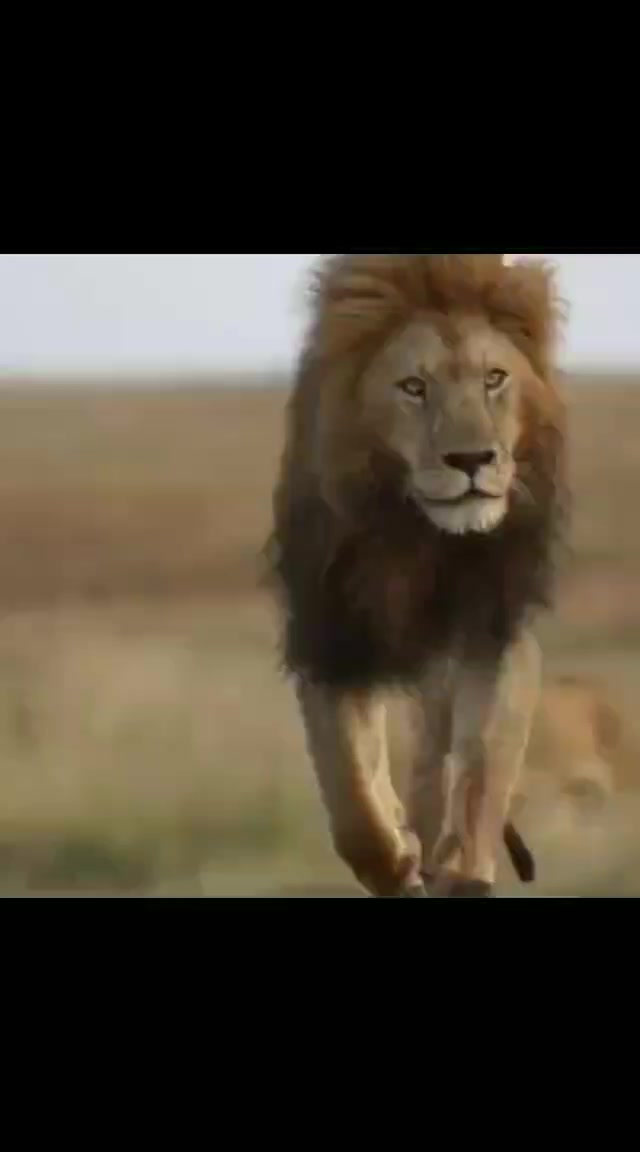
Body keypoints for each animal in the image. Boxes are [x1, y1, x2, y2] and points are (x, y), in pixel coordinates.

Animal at [267, 253, 568, 898]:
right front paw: (397, 863)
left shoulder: (495, 629)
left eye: (493, 379)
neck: (419, 536)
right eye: (414, 387)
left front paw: (465, 872)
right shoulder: (334, 642)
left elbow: (482, 770)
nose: (472, 460)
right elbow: (354, 802)